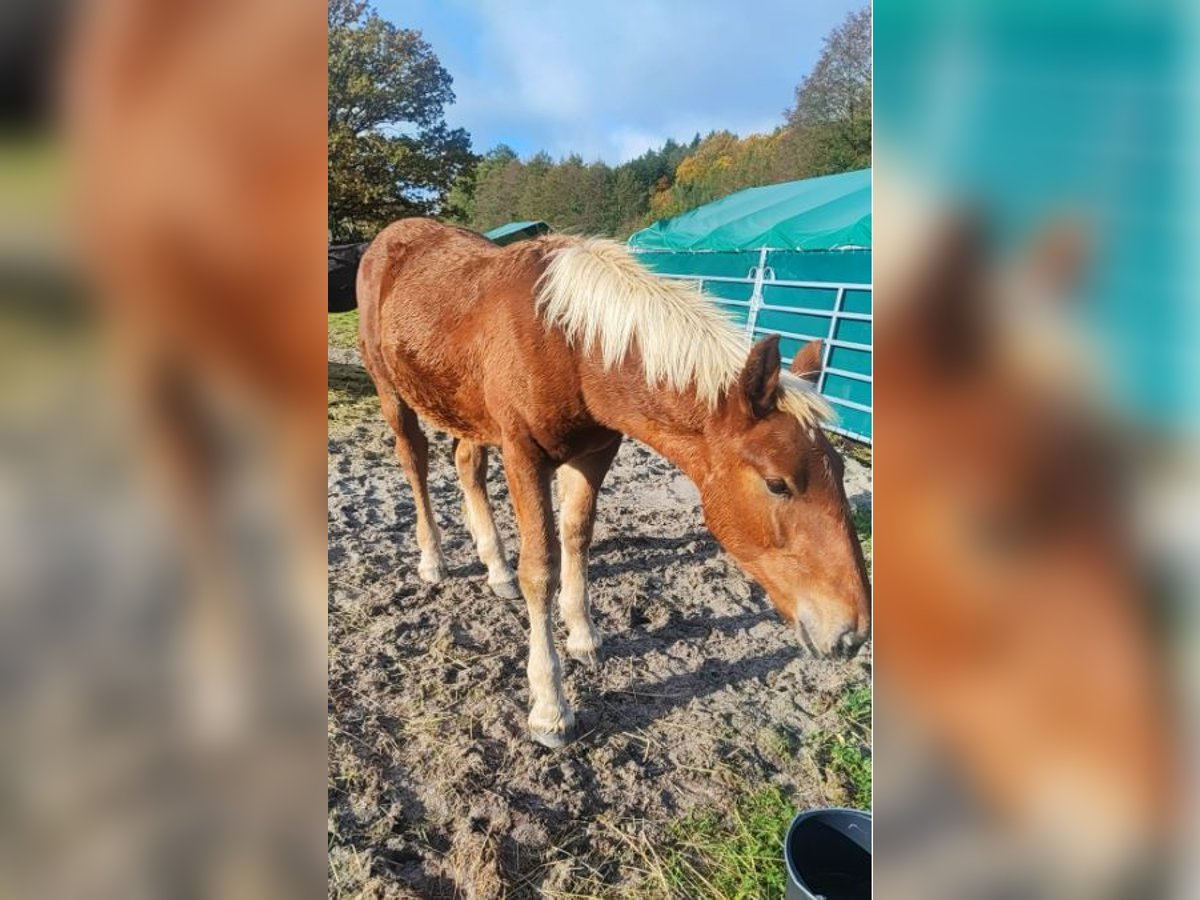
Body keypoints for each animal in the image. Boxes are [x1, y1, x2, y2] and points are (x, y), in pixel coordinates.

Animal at [355, 217, 873, 748]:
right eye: (776, 484)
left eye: (840, 470)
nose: (851, 633)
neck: (569, 345)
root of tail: (390, 238)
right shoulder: (523, 455)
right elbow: (540, 569)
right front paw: (550, 707)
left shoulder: (595, 452)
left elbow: (577, 536)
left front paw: (583, 633)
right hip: (391, 390)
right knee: (415, 463)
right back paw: (433, 559)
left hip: (464, 408)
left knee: (466, 465)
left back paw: (495, 567)